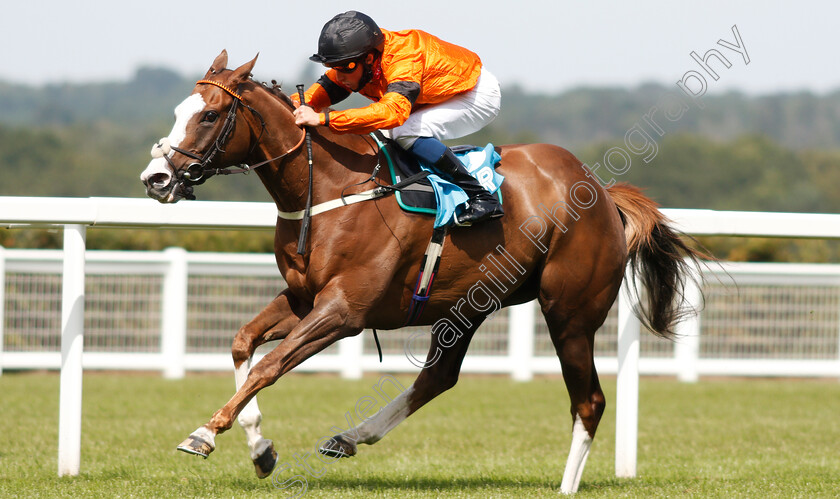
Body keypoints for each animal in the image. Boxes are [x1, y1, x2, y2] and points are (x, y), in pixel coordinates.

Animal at [139, 48, 704, 494]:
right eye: (179, 111)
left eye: (210, 116)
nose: (156, 178)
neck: (329, 189)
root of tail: (602, 193)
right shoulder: (303, 298)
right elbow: (243, 344)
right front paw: (260, 450)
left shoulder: (344, 310)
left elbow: (268, 366)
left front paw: (206, 433)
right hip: (471, 302)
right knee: (439, 376)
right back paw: (350, 437)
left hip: (569, 313)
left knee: (588, 402)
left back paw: (566, 486)